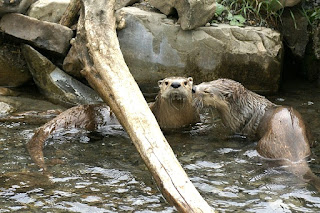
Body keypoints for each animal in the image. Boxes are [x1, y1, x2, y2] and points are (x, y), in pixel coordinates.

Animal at [192, 78, 320, 191]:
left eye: (206, 91)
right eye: (205, 82)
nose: (193, 88)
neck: (243, 112)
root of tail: (295, 156)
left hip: (265, 145)